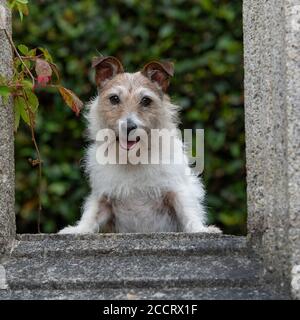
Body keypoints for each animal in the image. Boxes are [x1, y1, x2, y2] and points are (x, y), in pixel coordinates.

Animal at [59, 56, 220, 234]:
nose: (129, 127)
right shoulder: (103, 197)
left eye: (146, 100)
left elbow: (188, 211)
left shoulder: (177, 189)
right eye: (114, 99)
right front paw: (78, 229)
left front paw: (201, 229)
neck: (133, 158)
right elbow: (91, 215)